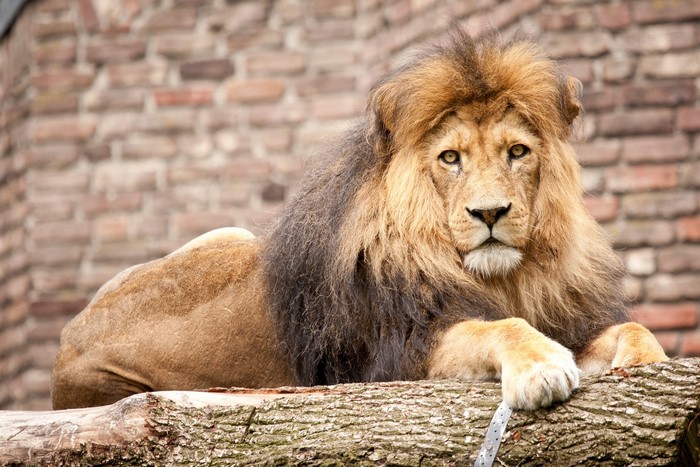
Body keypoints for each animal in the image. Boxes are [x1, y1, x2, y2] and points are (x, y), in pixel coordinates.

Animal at [51, 30, 667, 411]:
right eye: (450, 158)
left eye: (518, 152)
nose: (490, 212)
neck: (505, 277)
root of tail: (71, 335)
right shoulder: (398, 355)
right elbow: (495, 326)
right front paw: (541, 366)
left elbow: (630, 328)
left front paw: (649, 362)